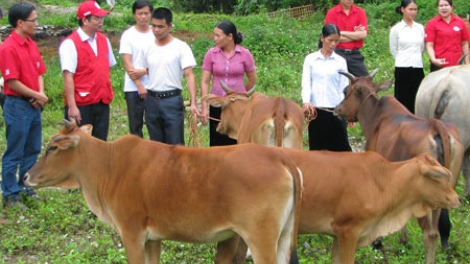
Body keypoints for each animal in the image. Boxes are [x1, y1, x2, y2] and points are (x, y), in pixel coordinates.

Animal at [23, 120, 302, 264]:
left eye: (52, 147)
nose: (26, 177)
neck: (109, 165)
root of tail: (278, 156)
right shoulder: (153, 238)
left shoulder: (132, 233)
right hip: (283, 236)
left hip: (261, 239)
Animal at [336, 69, 464, 264]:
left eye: (346, 91)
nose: (337, 109)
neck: (375, 116)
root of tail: (436, 126)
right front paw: (403, 239)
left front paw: (377, 241)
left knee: (430, 234)